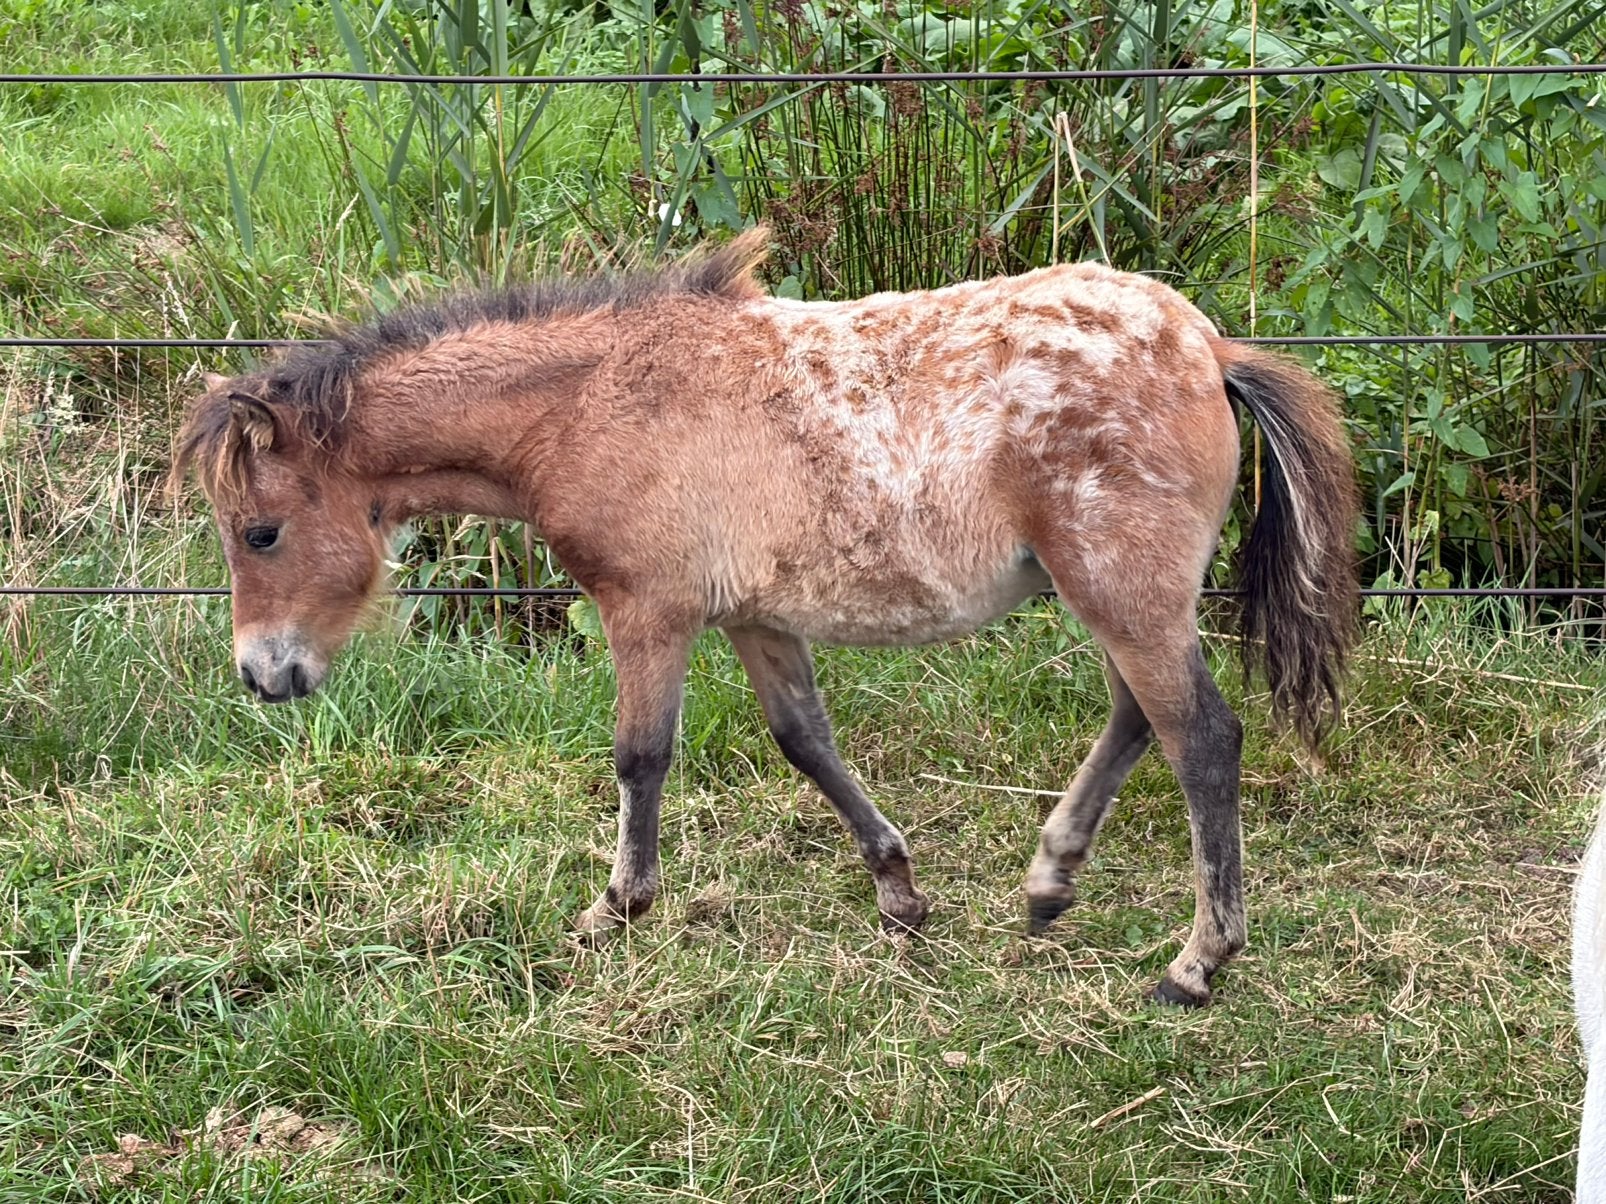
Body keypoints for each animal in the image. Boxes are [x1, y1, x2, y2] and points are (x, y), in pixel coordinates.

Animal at [174, 226, 1357, 1006]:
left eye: (260, 532)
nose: (263, 675)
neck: (590, 402)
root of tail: (1211, 349)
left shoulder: (647, 609)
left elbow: (640, 756)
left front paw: (617, 907)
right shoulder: (754, 617)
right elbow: (805, 741)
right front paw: (898, 893)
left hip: (1121, 588)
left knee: (1200, 736)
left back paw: (1196, 962)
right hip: (1117, 595)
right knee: (1136, 717)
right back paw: (1048, 881)